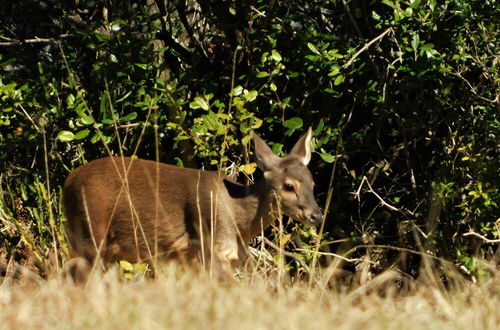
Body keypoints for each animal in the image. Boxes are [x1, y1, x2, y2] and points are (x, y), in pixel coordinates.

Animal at [62, 127, 322, 278]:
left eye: (312, 183)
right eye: (289, 186)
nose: (316, 215)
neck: (238, 219)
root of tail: (68, 181)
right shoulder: (214, 242)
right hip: (91, 230)